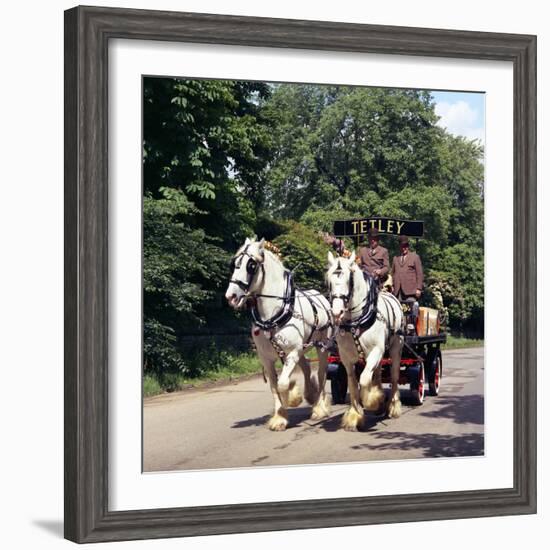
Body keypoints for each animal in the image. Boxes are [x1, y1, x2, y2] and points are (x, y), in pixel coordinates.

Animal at [224, 237, 332, 432]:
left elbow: (282, 383)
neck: (273, 315)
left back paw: (319, 407)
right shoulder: (266, 359)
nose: (231, 296)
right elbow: (274, 386)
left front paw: (293, 398)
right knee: (306, 367)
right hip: (302, 349)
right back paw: (310, 395)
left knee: (321, 374)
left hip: (322, 347)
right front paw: (279, 418)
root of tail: (321, 296)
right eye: (234, 264)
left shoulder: (292, 353)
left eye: (251, 265)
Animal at [328, 252, 406, 434]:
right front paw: (355, 416)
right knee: (377, 373)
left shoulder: (376, 350)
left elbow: (363, 380)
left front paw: (372, 401)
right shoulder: (346, 358)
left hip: (395, 347)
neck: (356, 322)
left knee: (394, 376)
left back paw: (392, 406)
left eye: (348, 280)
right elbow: (353, 383)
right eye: (330, 281)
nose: (337, 312)